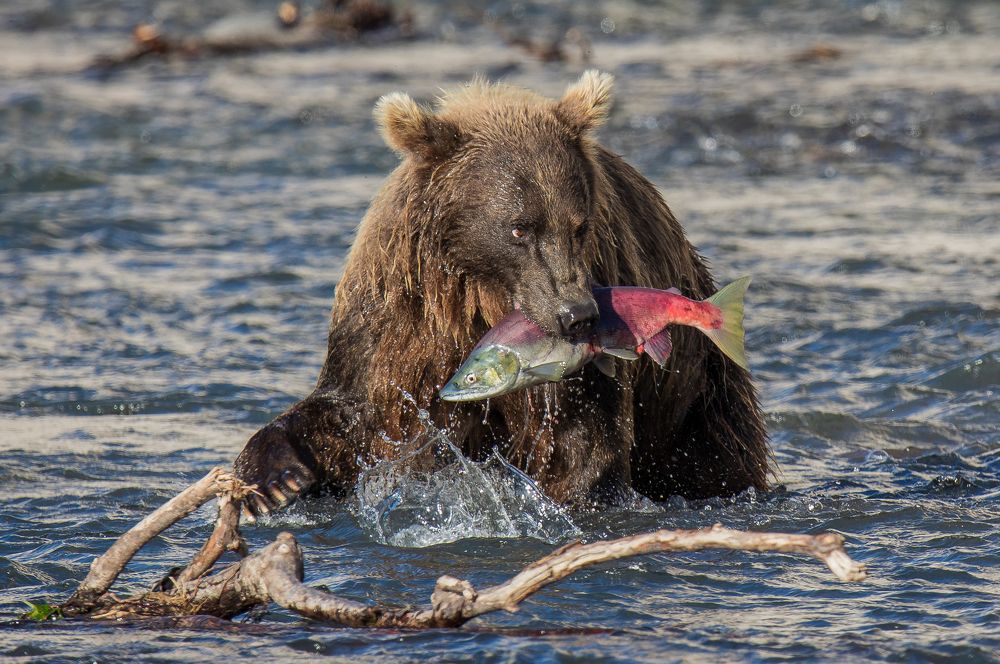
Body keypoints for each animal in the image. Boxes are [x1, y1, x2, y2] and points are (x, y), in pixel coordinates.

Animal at [234, 71, 772, 517]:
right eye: (519, 228)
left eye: (579, 225)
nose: (577, 315)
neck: (474, 294)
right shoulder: (395, 323)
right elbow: (355, 412)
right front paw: (275, 480)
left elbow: (580, 438)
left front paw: (569, 497)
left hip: (695, 388)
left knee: (716, 451)